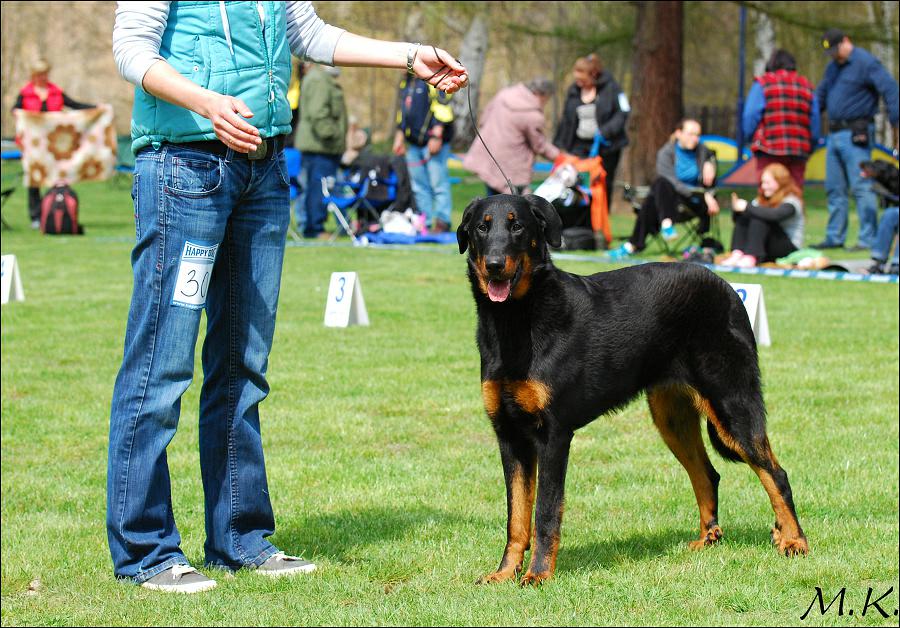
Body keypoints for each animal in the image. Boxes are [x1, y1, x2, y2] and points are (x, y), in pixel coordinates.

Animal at [458, 194, 808, 588]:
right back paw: (708, 539)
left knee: (776, 474)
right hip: (672, 416)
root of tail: (727, 287)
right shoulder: (509, 435)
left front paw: (538, 574)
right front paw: (505, 572)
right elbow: (516, 516)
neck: (517, 320)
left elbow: (545, 512)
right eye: (482, 227)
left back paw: (794, 540)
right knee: (708, 474)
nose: (495, 265)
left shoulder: (553, 435)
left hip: (732, 405)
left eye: (517, 226)